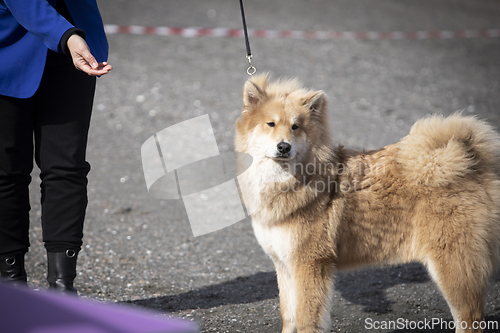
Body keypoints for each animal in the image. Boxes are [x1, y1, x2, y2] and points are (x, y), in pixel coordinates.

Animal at [236, 74, 500, 330]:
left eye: (296, 127)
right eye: (270, 124)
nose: (284, 146)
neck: (286, 181)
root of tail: (472, 164)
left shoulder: (310, 264)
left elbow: (306, 320)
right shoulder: (284, 265)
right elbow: (288, 317)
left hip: (453, 267)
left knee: (471, 318)